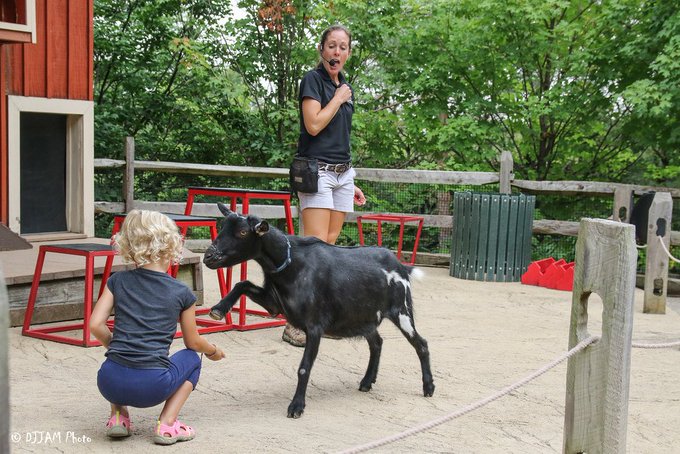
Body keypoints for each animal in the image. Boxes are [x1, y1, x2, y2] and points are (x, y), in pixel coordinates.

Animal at [203, 204, 436, 416]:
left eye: (243, 232)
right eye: (222, 227)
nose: (208, 257)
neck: (292, 264)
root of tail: (402, 267)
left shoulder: (314, 326)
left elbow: (304, 367)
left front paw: (296, 406)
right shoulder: (274, 305)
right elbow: (242, 283)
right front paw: (218, 309)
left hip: (401, 311)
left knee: (421, 344)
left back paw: (428, 387)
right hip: (365, 316)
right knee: (377, 343)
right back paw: (367, 382)